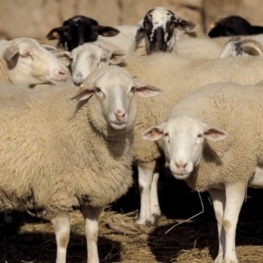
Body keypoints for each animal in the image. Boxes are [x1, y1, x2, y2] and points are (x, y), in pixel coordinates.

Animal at [0, 64, 162, 263]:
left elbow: (92, 233)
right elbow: (63, 237)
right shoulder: (58, 196)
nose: (120, 114)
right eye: (98, 90)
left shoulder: (93, 194)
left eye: (132, 89)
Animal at [142, 82, 263, 263]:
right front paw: (219, 257)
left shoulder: (237, 178)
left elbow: (228, 222)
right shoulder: (216, 184)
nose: (180, 165)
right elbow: (219, 220)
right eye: (166, 134)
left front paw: (230, 258)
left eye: (199, 135)